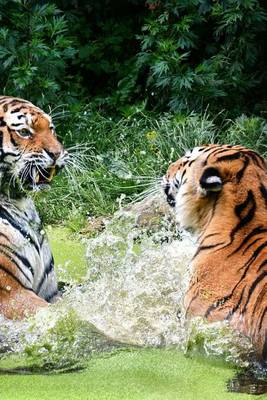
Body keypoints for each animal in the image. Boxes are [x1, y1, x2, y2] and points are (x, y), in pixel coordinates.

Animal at [0, 95, 69, 320]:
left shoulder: (51, 292)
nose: (57, 153)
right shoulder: (12, 294)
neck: (19, 203)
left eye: (51, 128)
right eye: (24, 132)